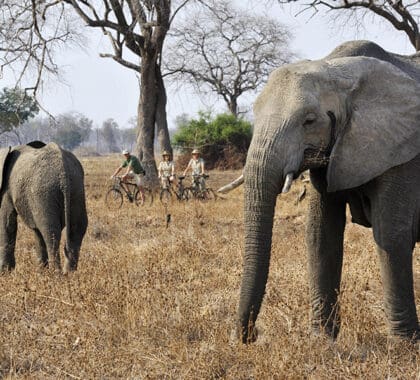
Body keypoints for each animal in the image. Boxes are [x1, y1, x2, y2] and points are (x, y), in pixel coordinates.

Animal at [0, 141, 88, 272]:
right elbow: (35, 231)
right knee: (77, 229)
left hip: (45, 192)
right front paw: (41, 270)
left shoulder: (6, 188)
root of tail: (64, 171)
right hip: (77, 189)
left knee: (50, 232)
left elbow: (7, 222)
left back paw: (56, 273)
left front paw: (5, 272)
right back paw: (69, 273)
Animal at [238, 41, 418, 344]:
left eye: (309, 121)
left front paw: (403, 345)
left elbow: (391, 236)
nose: (250, 336)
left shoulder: (401, 151)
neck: (336, 69)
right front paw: (321, 341)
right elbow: (320, 235)